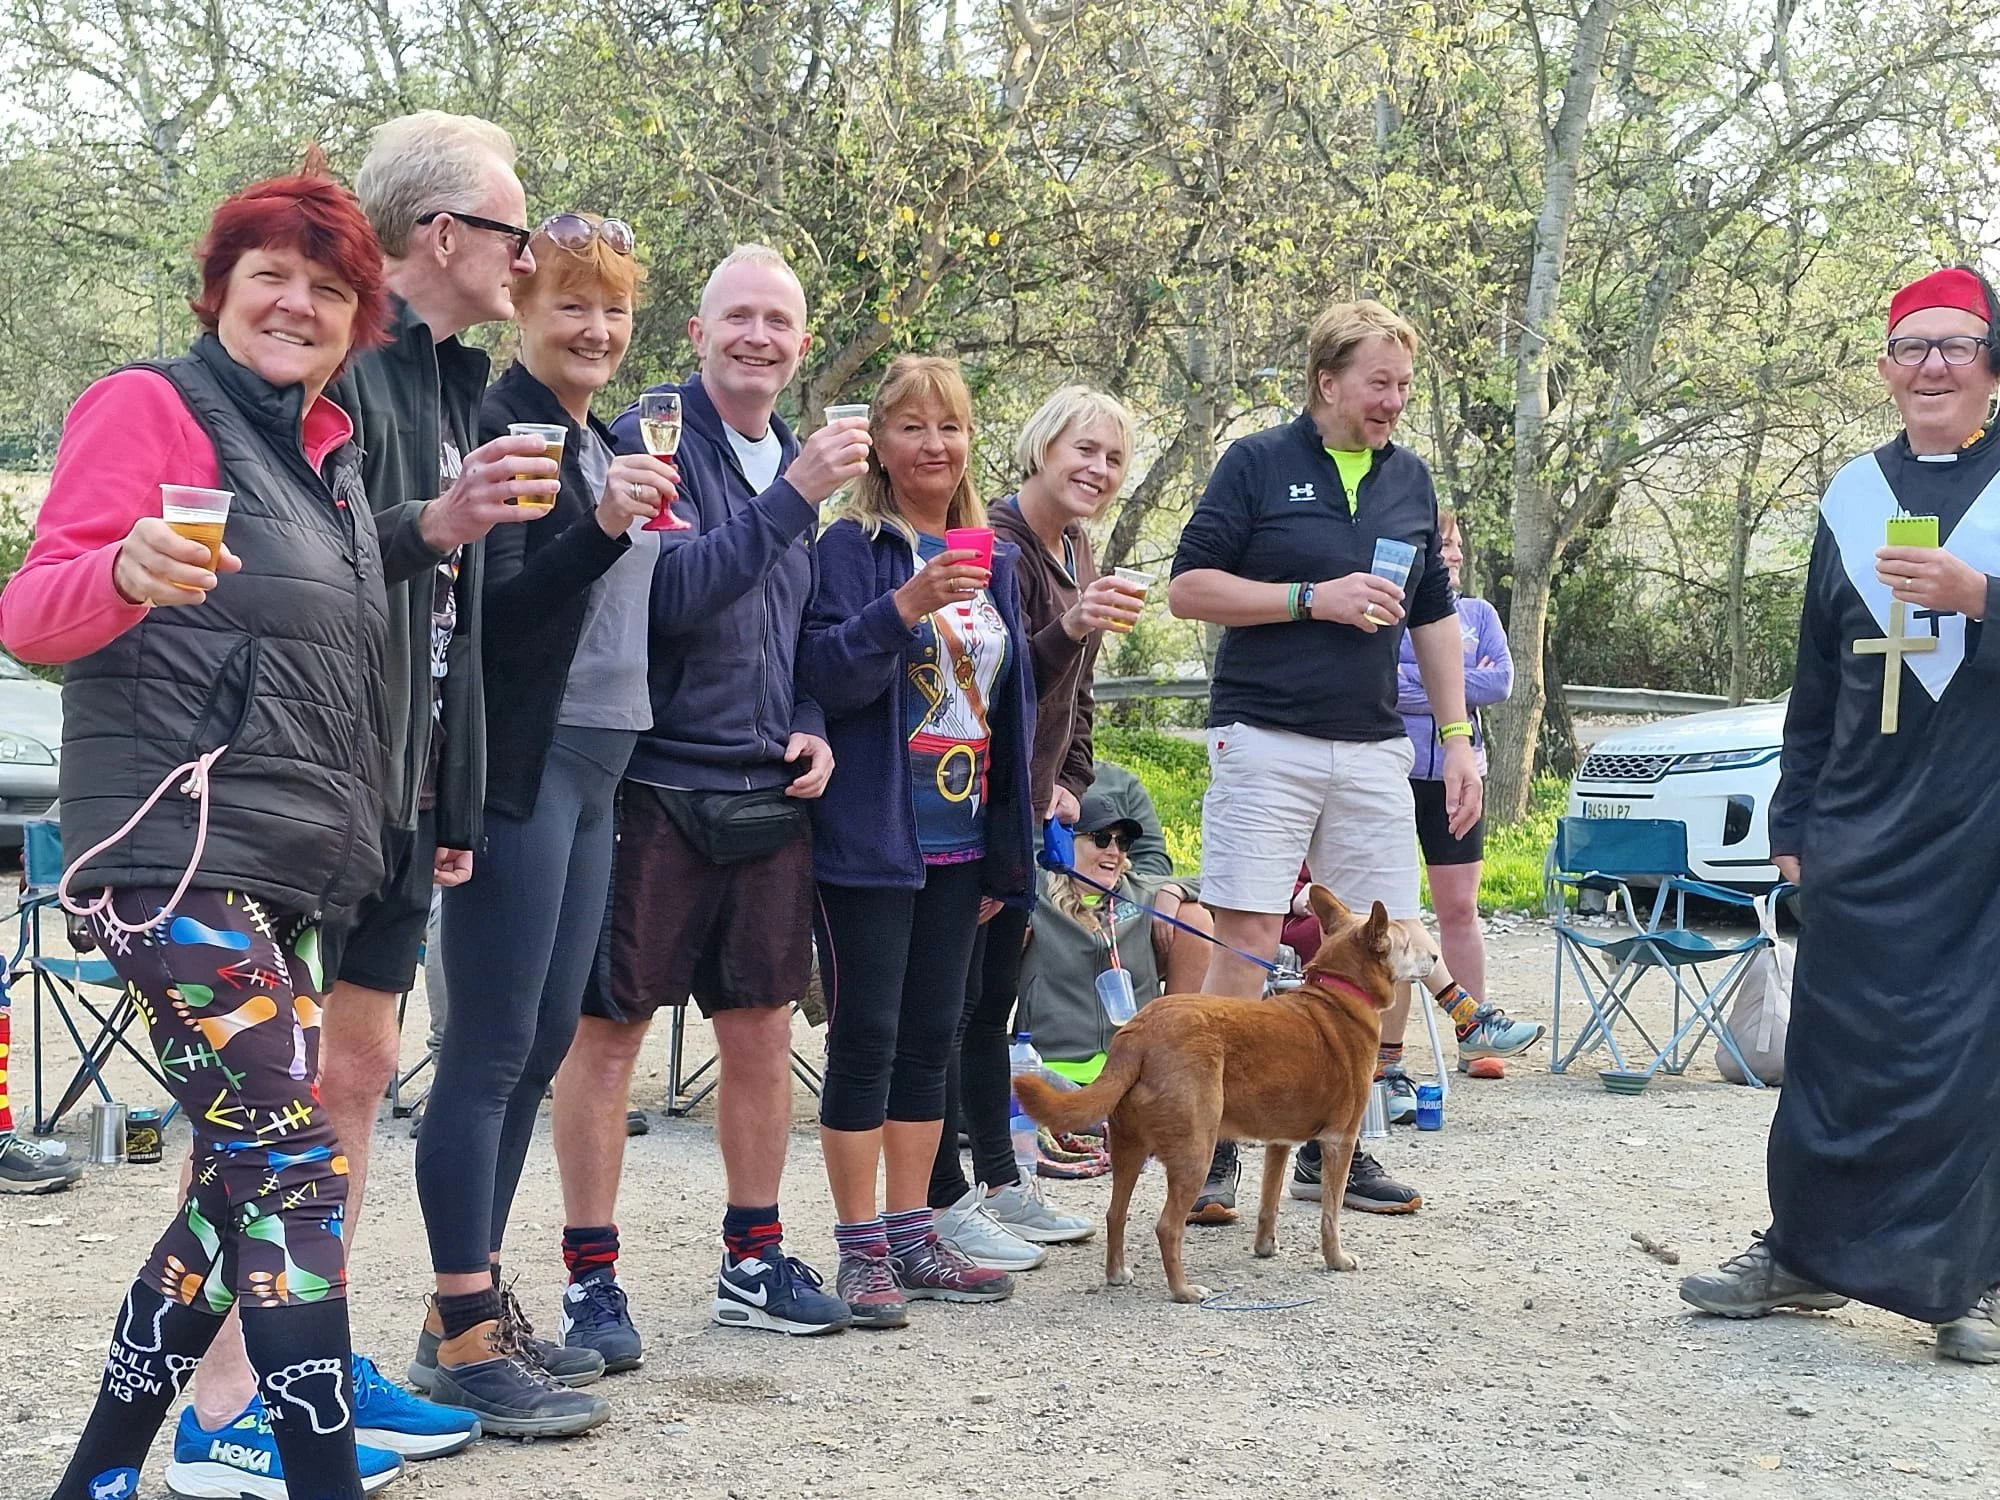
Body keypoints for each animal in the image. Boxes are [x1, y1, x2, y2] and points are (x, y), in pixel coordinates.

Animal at [1012, 888, 1437, 1302]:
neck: (1338, 994)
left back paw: (1117, 1275)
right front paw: (1337, 1259)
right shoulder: (1340, 1141)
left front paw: (1266, 1247)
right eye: (1406, 942)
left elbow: (1269, 1202)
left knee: (1115, 1214)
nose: (1434, 956)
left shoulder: (1278, 1143)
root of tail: (1137, 1033)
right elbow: (1330, 1214)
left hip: (1128, 1150)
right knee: (1168, 1227)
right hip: (1194, 1154)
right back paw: (1183, 1290)